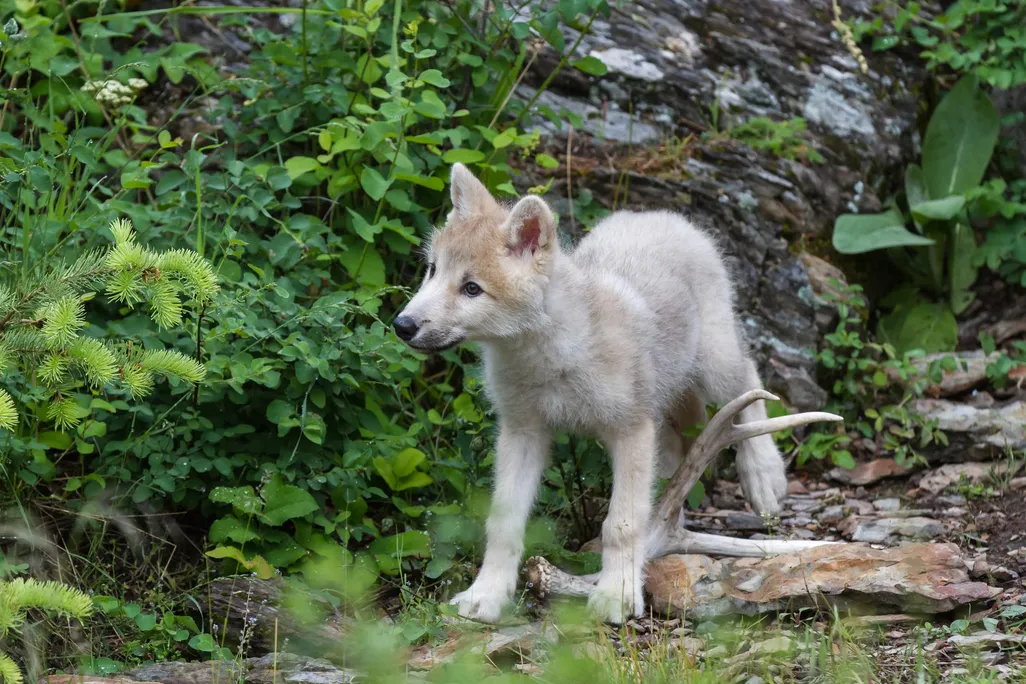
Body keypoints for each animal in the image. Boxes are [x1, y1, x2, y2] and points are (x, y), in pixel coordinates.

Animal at [392, 163, 788, 623]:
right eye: (432, 271)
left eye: (472, 288)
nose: (402, 325)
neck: (549, 356)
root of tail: (661, 215)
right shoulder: (522, 432)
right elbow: (503, 520)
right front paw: (486, 595)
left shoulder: (631, 429)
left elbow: (621, 524)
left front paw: (617, 595)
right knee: (679, 447)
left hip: (714, 362)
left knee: (750, 382)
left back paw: (764, 477)